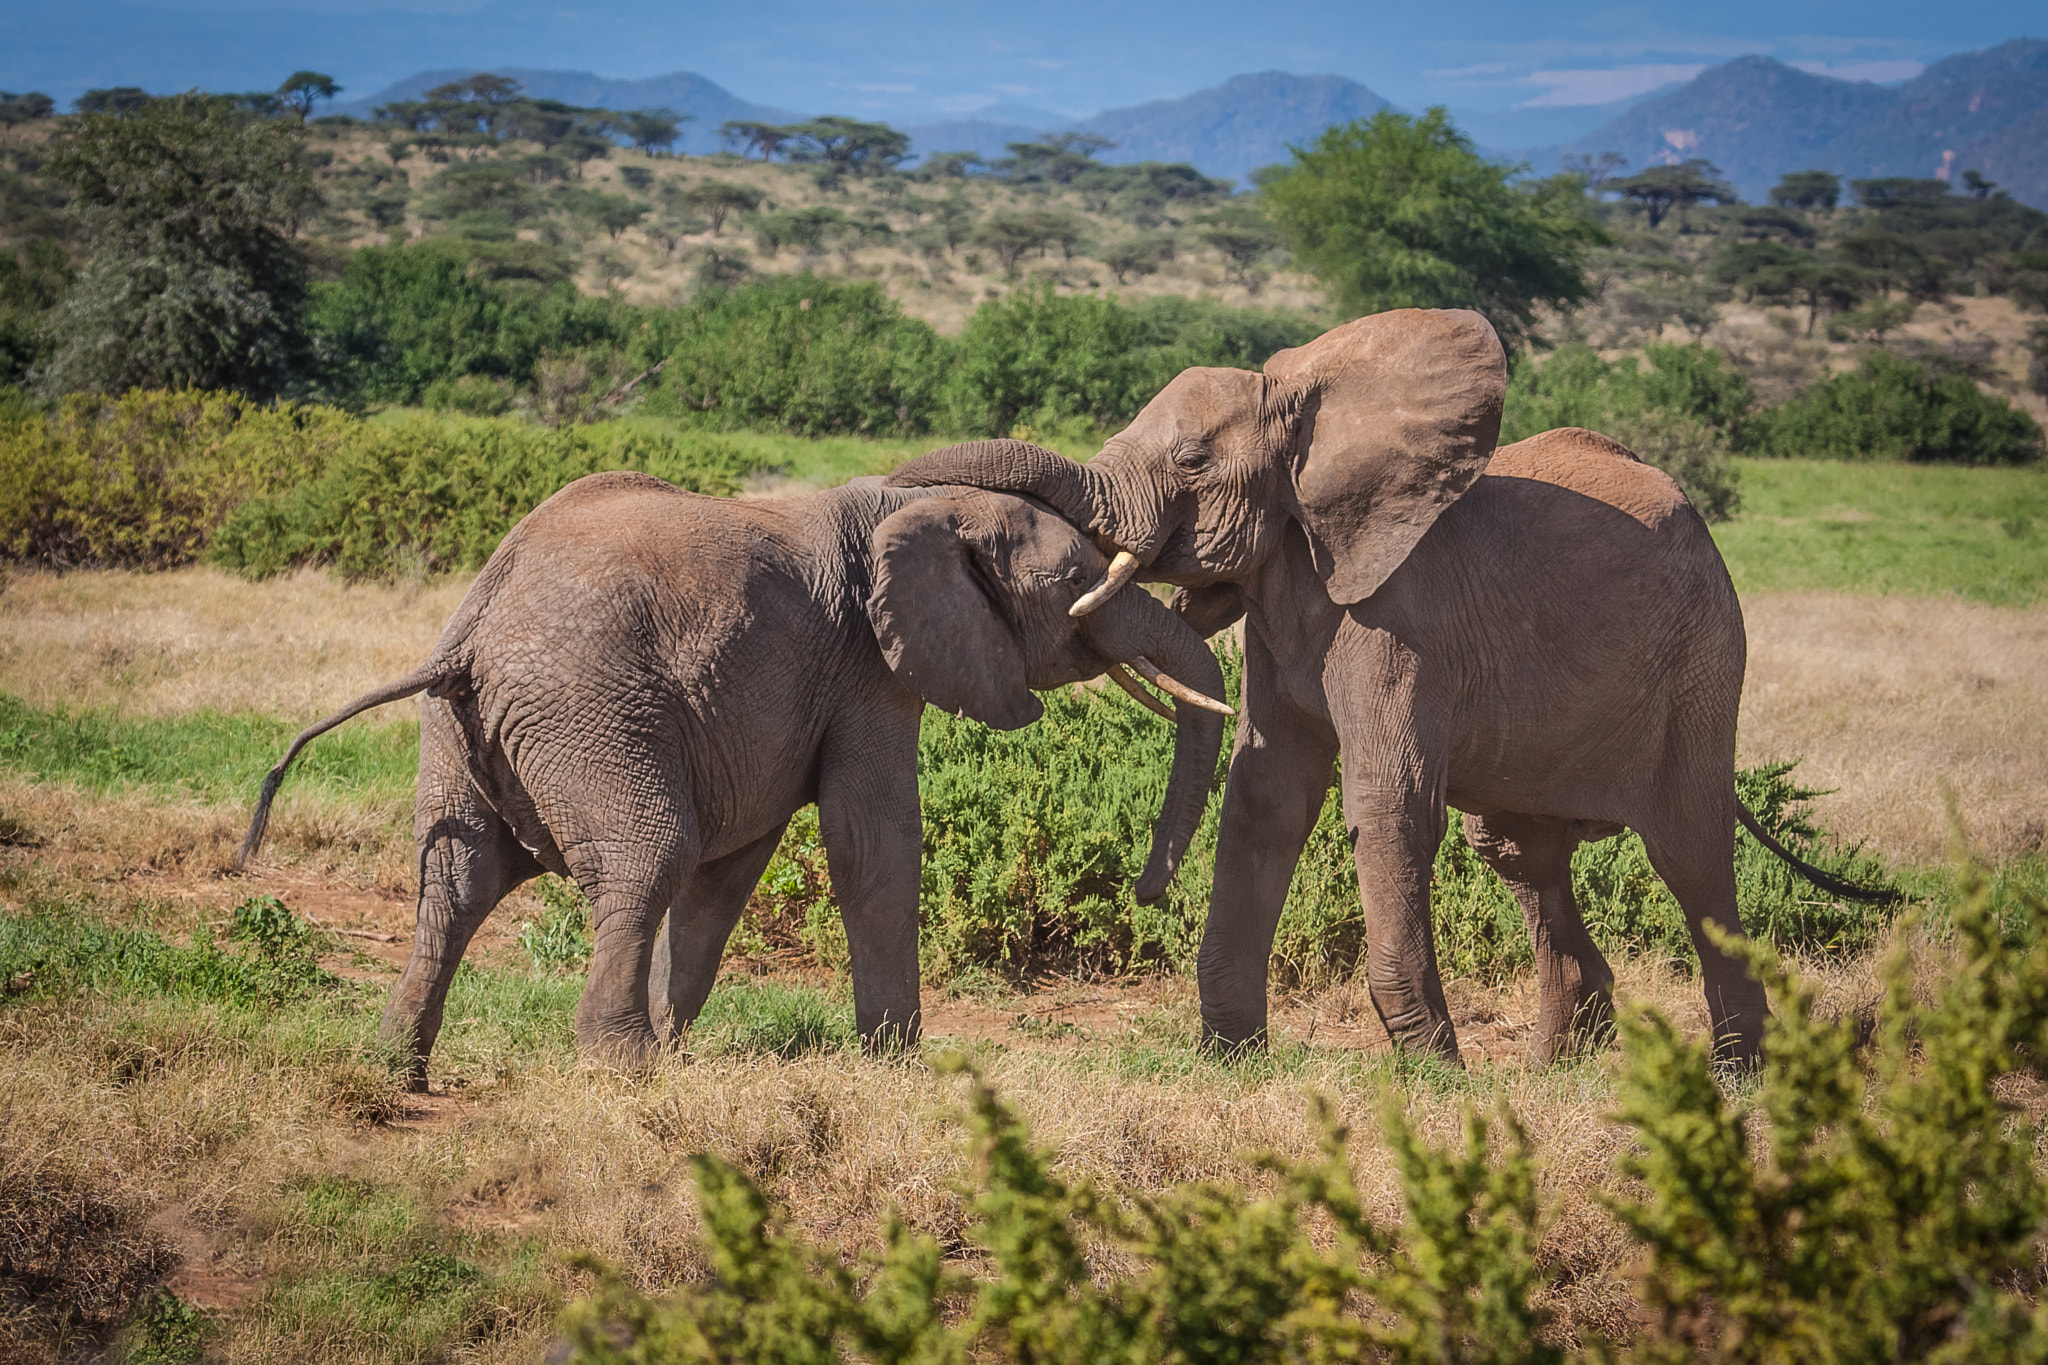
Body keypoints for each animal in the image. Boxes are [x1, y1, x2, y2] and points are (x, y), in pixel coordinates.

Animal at [239, 450, 1228, 1088]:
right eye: (1076, 583)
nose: (1149, 888)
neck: (922, 508)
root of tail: (475, 630)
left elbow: (733, 870)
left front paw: (687, 1041)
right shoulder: (869, 665)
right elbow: (871, 843)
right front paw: (902, 1068)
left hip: (458, 730)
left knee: (456, 880)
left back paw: (399, 1067)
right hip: (590, 712)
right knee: (646, 854)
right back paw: (625, 1067)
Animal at [888, 309, 1875, 1064]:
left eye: (1195, 462)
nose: (1142, 892)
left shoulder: (1400, 623)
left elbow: (1386, 802)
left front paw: (1436, 1075)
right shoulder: (1288, 602)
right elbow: (1266, 796)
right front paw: (1232, 1059)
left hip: (1704, 661)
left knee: (1692, 853)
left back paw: (1736, 1077)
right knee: (1516, 849)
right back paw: (1553, 1069)